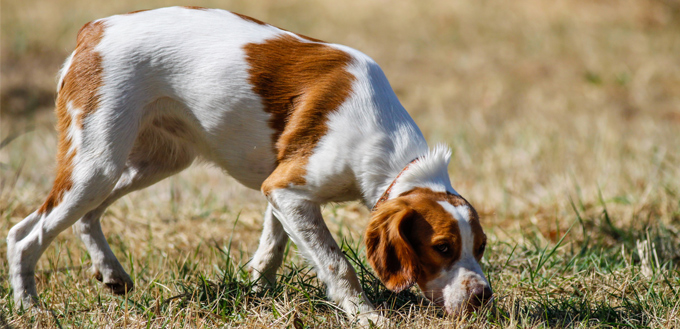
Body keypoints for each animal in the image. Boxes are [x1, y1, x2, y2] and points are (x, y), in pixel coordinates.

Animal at [7, 6, 492, 322]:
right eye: (443, 247)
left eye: (481, 247)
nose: (483, 297)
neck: (386, 144)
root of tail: (95, 29)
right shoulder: (289, 188)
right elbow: (337, 264)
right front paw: (365, 315)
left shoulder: (280, 189)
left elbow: (273, 247)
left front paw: (257, 289)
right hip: (97, 162)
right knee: (23, 235)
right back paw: (30, 308)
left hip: (154, 161)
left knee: (82, 217)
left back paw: (110, 273)